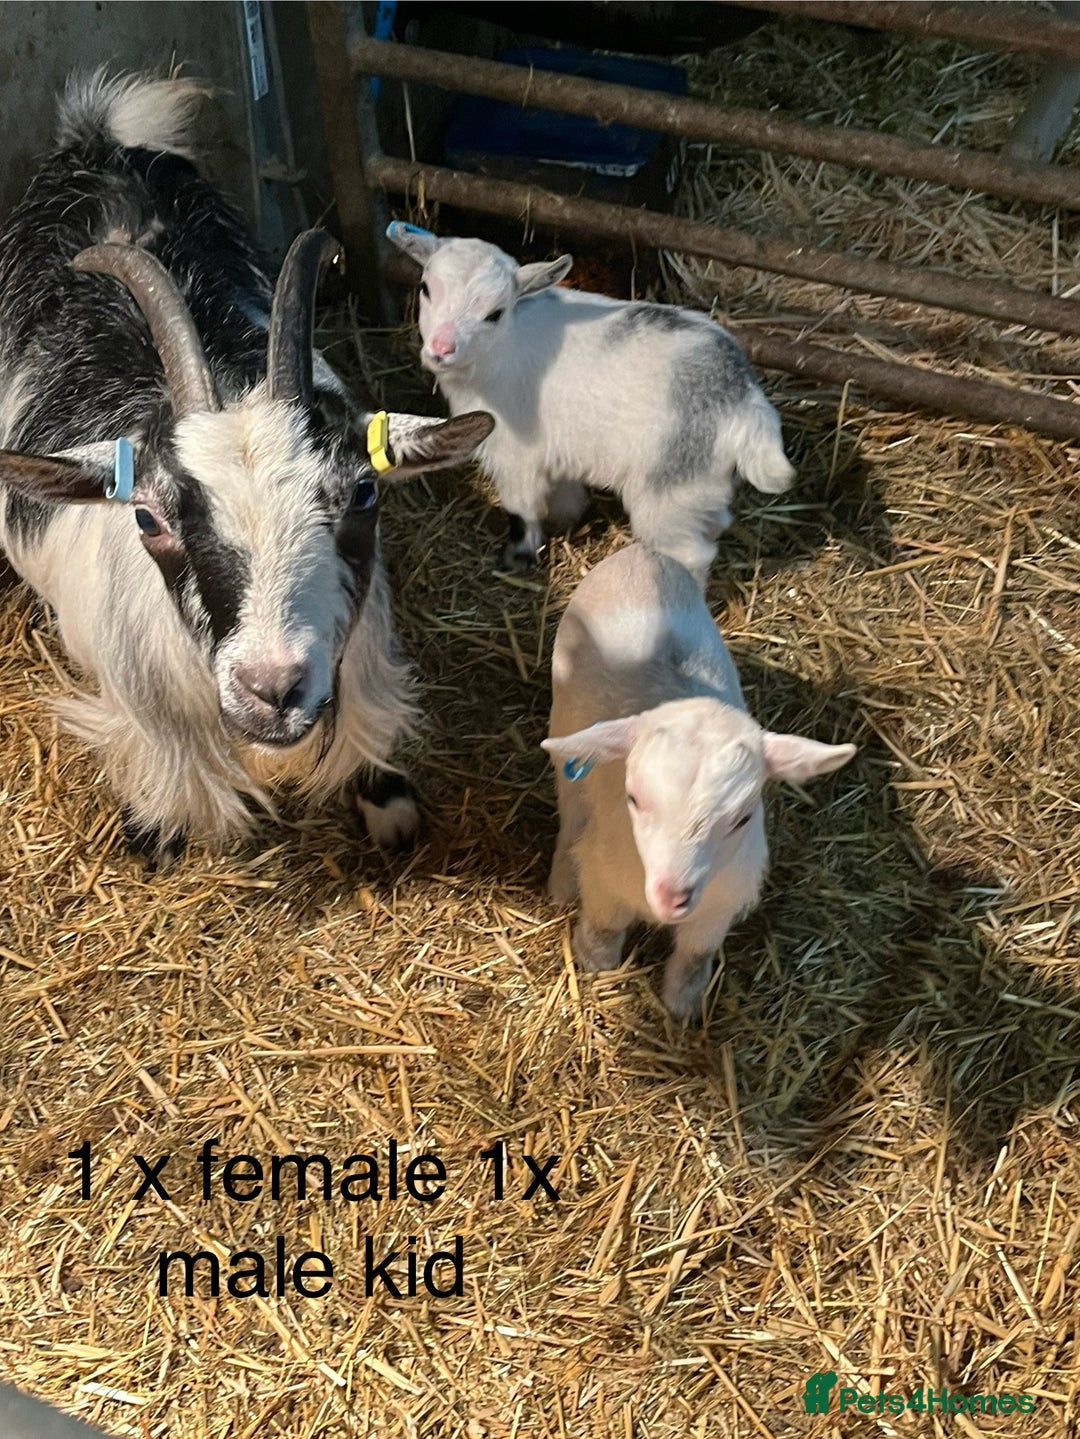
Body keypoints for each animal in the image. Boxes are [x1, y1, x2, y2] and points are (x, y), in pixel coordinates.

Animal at [0, 71, 493, 857]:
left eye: (363, 493)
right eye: (147, 517)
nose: (274, 688)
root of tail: (100, 145)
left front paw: (387, 801)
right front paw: (153, 830)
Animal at [386, 224, 794, 585]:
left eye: (495, 313)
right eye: (425, 288)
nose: (441, 349)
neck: (499, 349)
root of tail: (744, 398)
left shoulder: (514, 454)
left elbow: (522, 510)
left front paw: (517, 558)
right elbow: (565, 497)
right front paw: (568, 522)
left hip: (669, 491)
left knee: (690, 554)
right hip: (702, 486)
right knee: (715, 521)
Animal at [542, 544, 856, 1020]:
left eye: (743, 818)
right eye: (633, 799)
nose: (673, 897)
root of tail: (644, 553)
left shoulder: (719, 904)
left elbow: (694, 957)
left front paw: (683, 1005)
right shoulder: (605, 881)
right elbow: (603, 929)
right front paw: (594, 963)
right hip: (565, 728)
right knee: (571, 810)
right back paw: (562, 883)